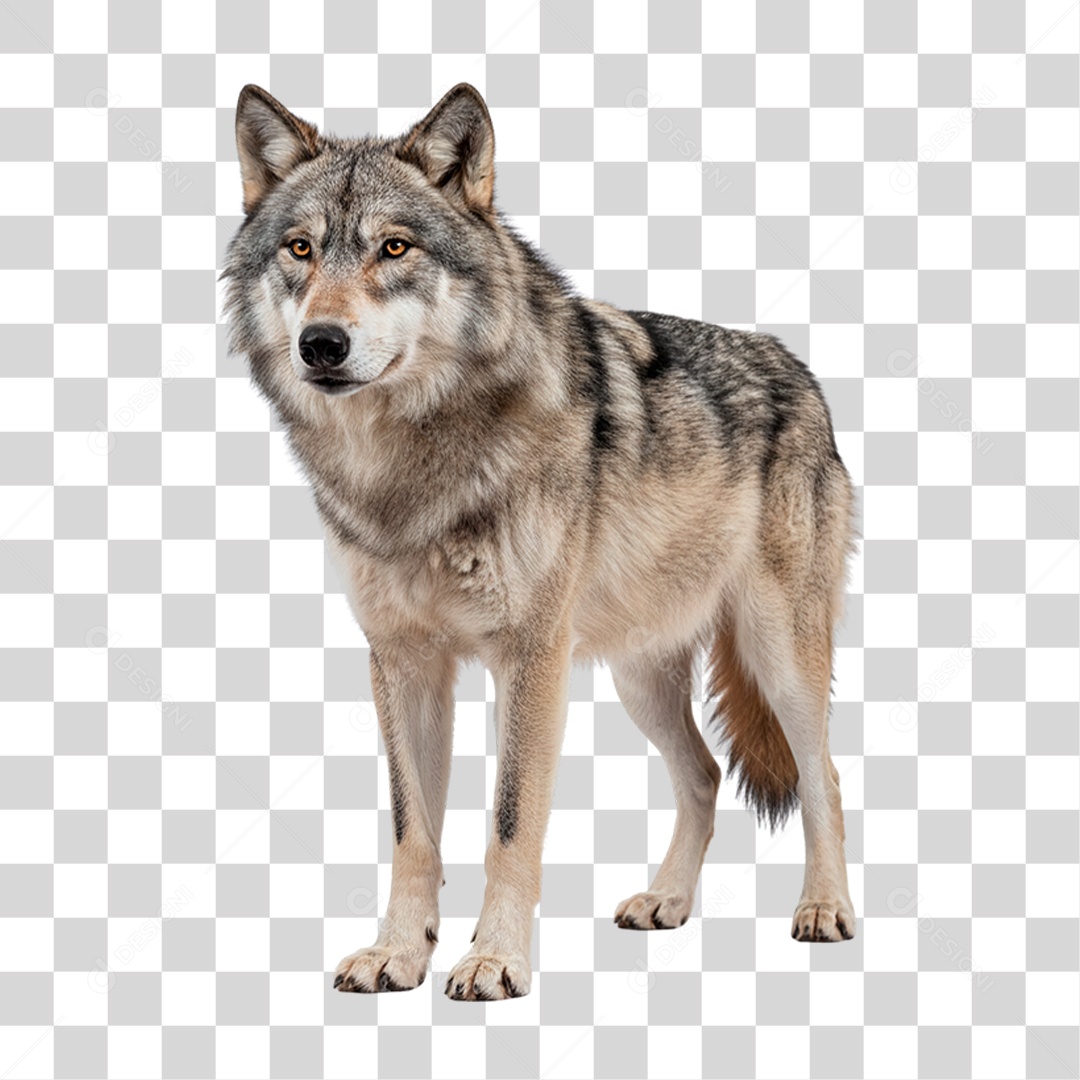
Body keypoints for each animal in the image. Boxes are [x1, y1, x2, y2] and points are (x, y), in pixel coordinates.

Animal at [224, 83, 857, 1000]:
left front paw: (493, 960)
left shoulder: (528, 657)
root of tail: (799, 370)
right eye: (300, 249)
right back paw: (667, 901)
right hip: (637, 676)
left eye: (394, 247)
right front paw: (397, 954)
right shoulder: (404, 662)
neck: (407, 471)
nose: (322, 343)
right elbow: (413, 831)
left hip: (778, 656)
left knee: (824, 777)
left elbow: (510, 825)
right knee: (703, 775)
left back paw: (825, 910)